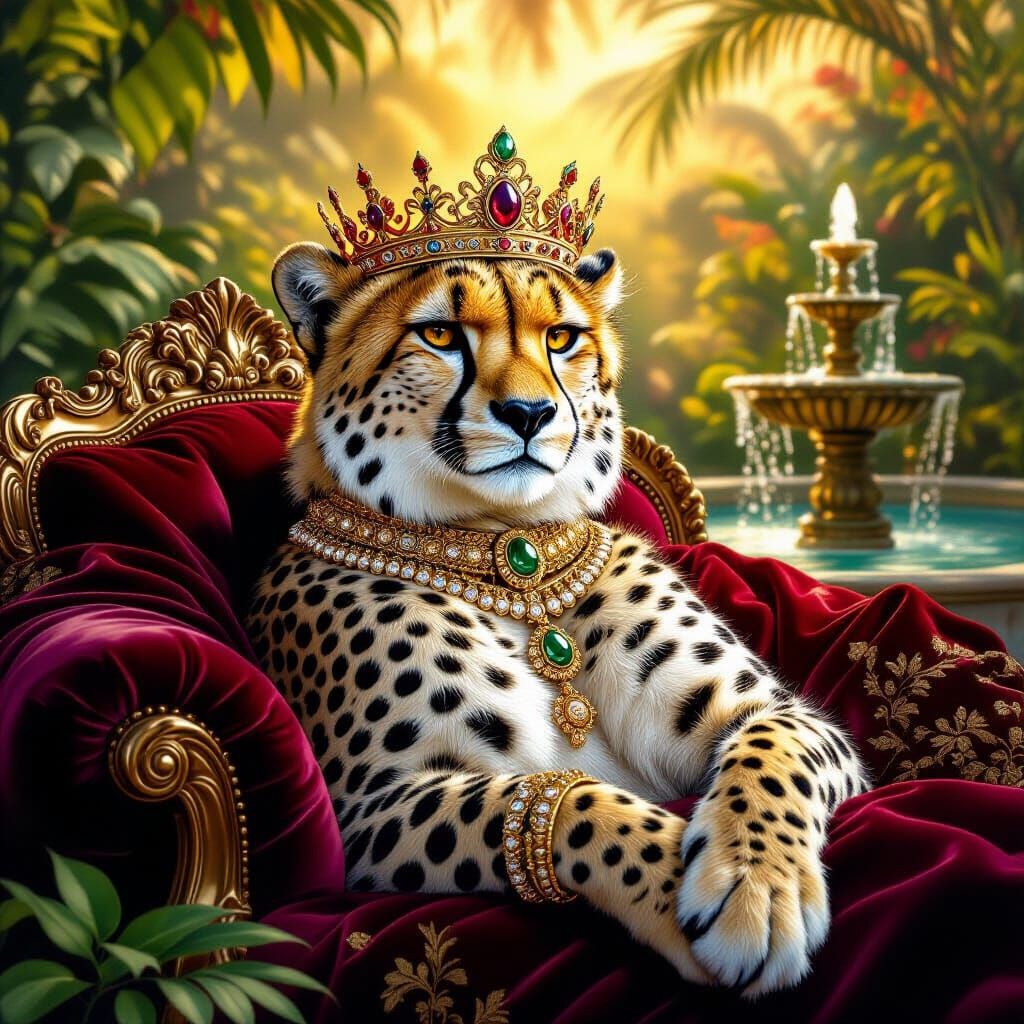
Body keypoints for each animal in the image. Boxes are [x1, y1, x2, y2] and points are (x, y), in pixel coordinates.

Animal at [246, 240, 869, 997]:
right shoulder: (366, 815)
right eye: (440, 334)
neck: (510, 560)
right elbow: (558, 798)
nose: (529, 412)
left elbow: (772, 752)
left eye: (562, 338)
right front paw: (706, 893)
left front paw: (757, 882)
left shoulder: (784, 715)